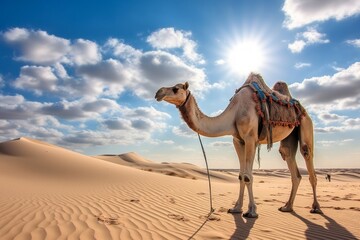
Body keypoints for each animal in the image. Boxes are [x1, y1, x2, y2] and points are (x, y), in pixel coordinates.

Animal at [156, 73, 322, 218]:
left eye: (175, 88)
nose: (158, 92)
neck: (234, 113)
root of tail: (302, 108)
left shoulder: (250, 138)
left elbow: (248, 176)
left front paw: (252, 212)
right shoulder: (238, 140)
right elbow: (241, 175)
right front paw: (236, 208)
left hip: (306, 124)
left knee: (308, 157)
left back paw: (316, 208)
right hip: (289, 137)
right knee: (291, 162)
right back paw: (287, 207)